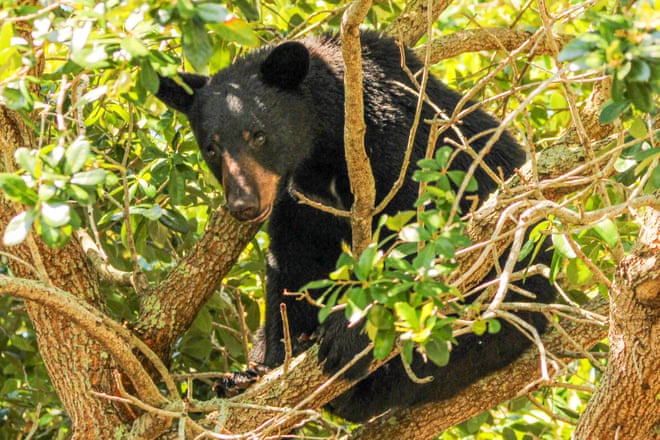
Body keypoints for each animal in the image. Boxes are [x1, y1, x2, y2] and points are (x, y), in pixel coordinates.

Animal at [155, 32, 555, 423]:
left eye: (258, 135)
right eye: (211, 148)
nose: (244, 204)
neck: (326, 150)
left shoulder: (405, 151)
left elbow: (426, 238)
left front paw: (348, 336)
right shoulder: (299, 200)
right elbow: (292, 266)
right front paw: (267, 365)